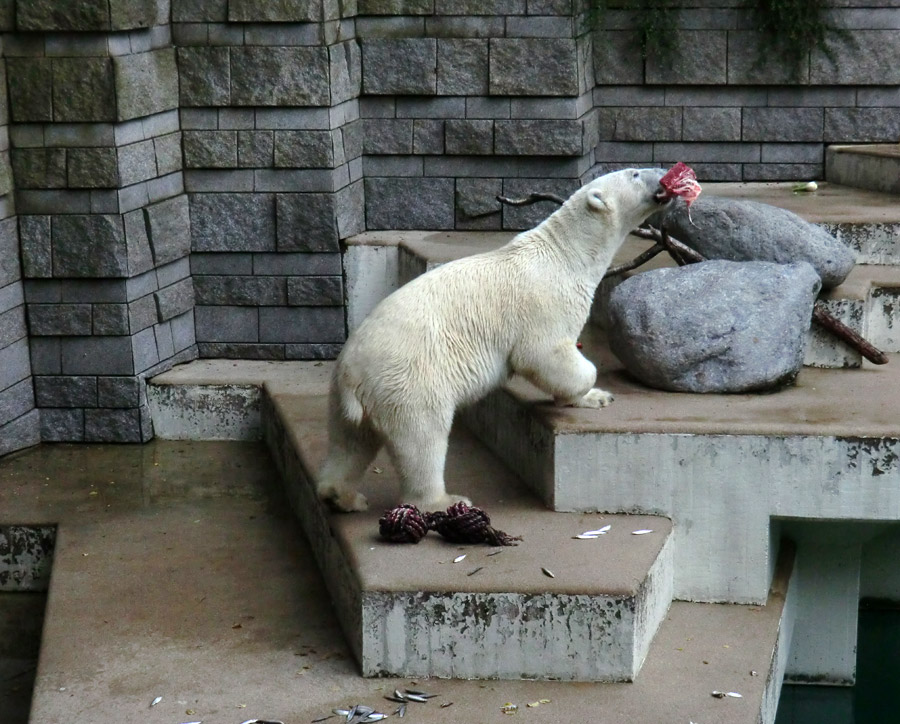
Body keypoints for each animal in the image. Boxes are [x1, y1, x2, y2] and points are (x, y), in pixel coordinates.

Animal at [316, 168, 676, 512]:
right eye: (634, 173)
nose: (664, 175)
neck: (566, 254)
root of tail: (351, 374)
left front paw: (594, 397)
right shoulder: (544, 302)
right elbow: (543, 355)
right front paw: (595, 390)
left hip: (349, 396)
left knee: (350, 443)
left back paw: (340, 496)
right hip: (407, 380)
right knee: (422, 439)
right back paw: (444, 500)